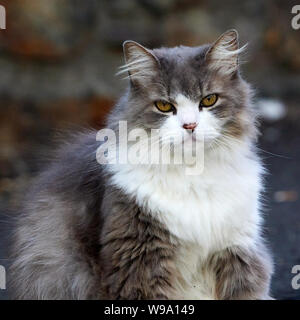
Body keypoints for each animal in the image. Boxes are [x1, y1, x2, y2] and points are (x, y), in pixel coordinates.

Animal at [9, 30, 274, 300]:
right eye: (164, 106)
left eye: (209, 100)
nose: (190, 125)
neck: (193, 173)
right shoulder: (140, 259)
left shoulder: (238, 249)